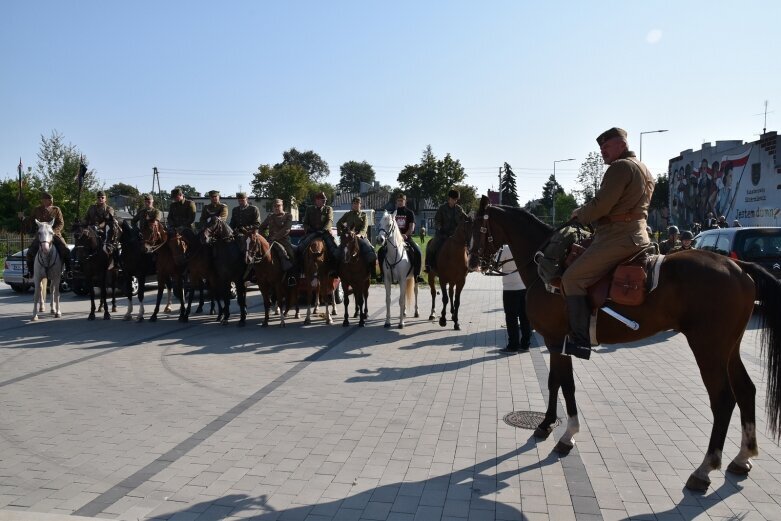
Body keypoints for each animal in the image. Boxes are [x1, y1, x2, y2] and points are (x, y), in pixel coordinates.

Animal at [466, 196, 780, 492]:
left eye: (476, 226)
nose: (471, 262)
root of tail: (738, 266)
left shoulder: (556, 340)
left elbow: (563, 383)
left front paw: (566, 434)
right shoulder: (557, 343)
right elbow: (555, 381)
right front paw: (546, 425)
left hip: (708, 349)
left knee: (723, 400)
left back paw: (704, 469)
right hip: (729, 348)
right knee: (746, 389)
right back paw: (742, 456)